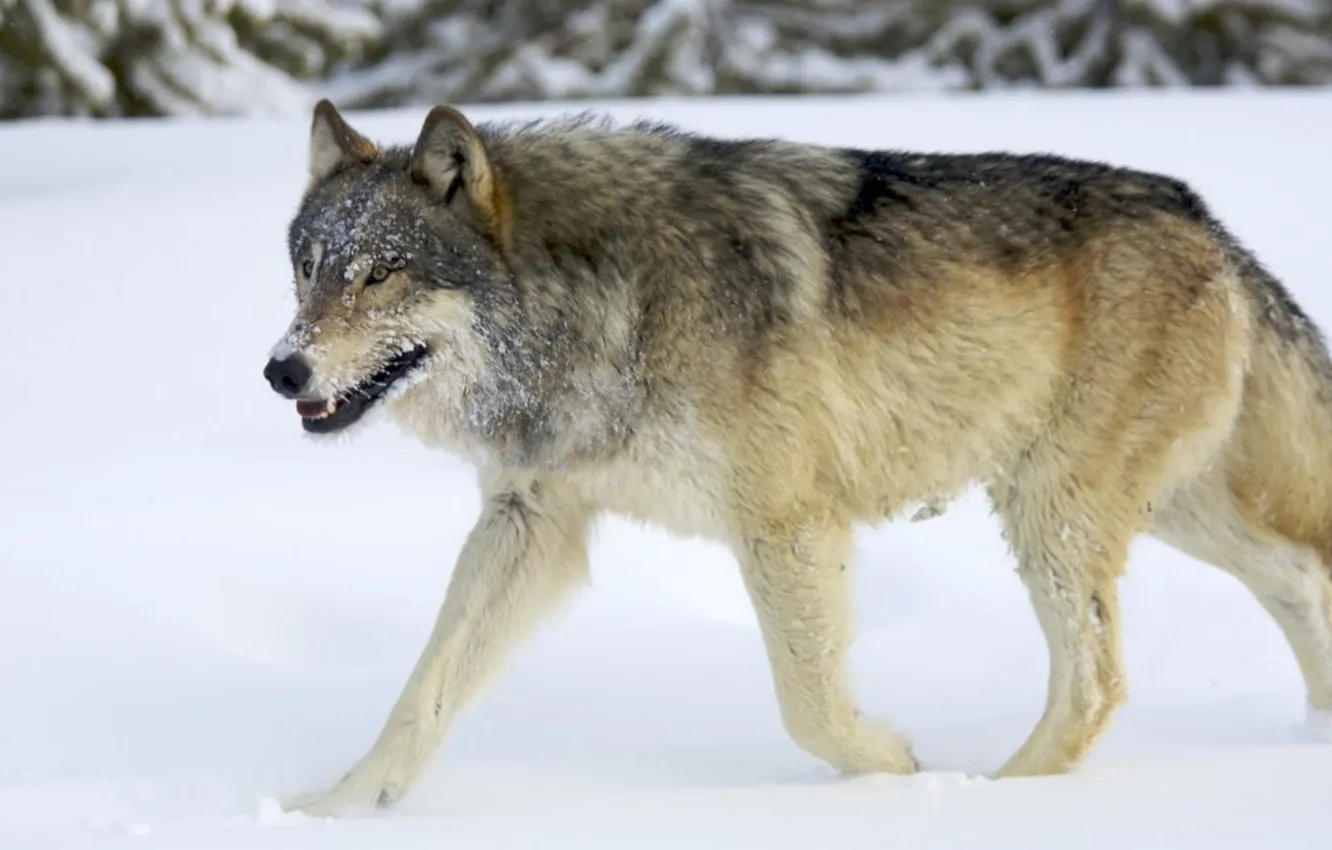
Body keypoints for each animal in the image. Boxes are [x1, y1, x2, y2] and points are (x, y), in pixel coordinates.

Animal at [264, 99, 1332, 816]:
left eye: (381, 275)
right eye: (307, 272)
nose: (281, 369)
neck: (604, 305)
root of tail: (1204, 218)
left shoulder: (787, 522)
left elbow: (809, 705)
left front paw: (901, 775)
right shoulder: (529, 520)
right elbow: (422, 691)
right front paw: (334, 811)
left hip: (1056, 514)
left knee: (1098, 682)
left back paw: (993, 800)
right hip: (1163, 509)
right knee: (1299, 576)